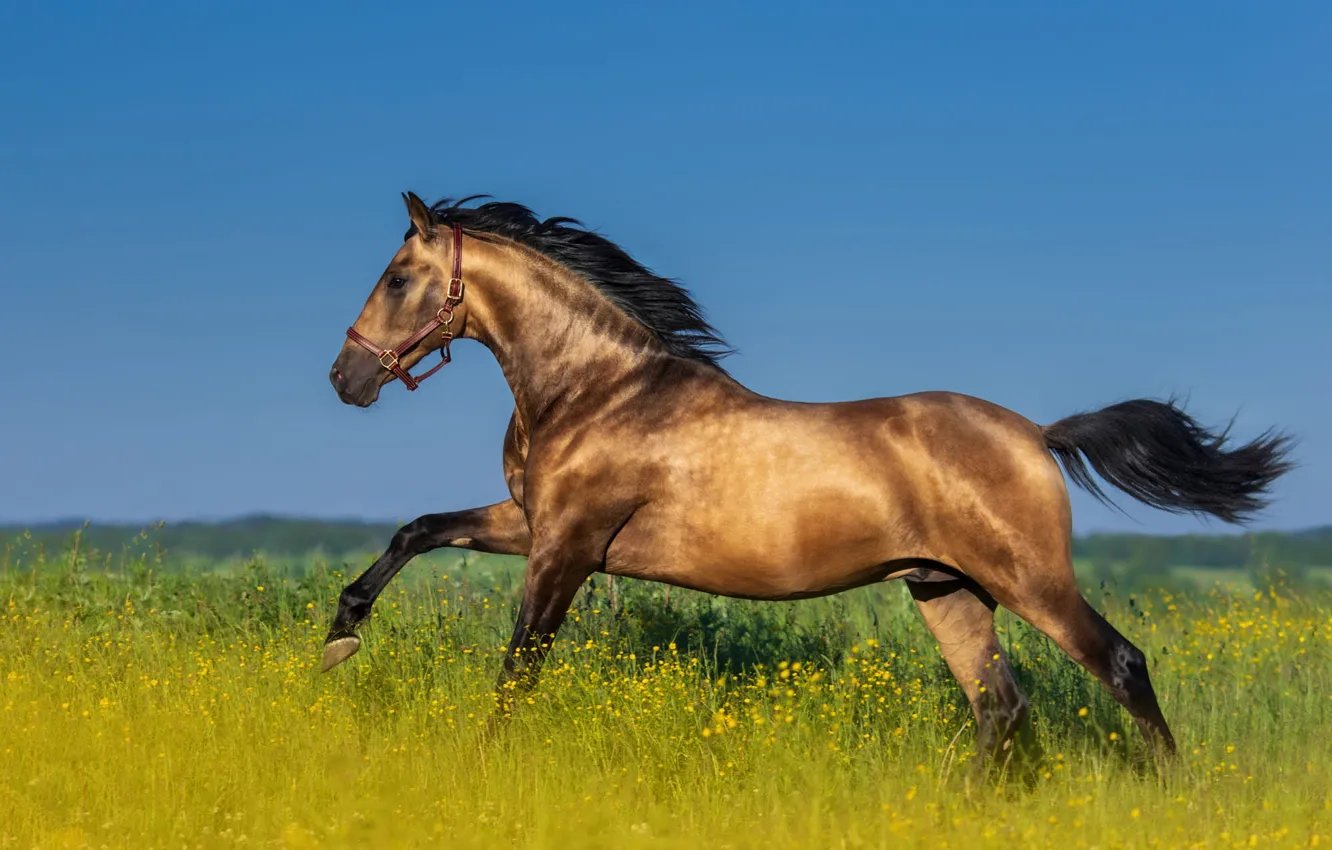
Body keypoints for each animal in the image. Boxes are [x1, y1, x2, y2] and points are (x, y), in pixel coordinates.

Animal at [323, 191, 1294, 772]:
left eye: (399, 278)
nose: (346, 378)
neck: (598, 390)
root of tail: (1037, 435)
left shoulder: (566, 547)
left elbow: (518, 667)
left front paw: (481, 760)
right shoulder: (534, 524)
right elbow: (418, 529)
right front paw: (339, 638)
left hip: (1029, 580)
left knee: (1120, 665)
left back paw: (1173, 793)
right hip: (947, 589)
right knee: (1000, 707)